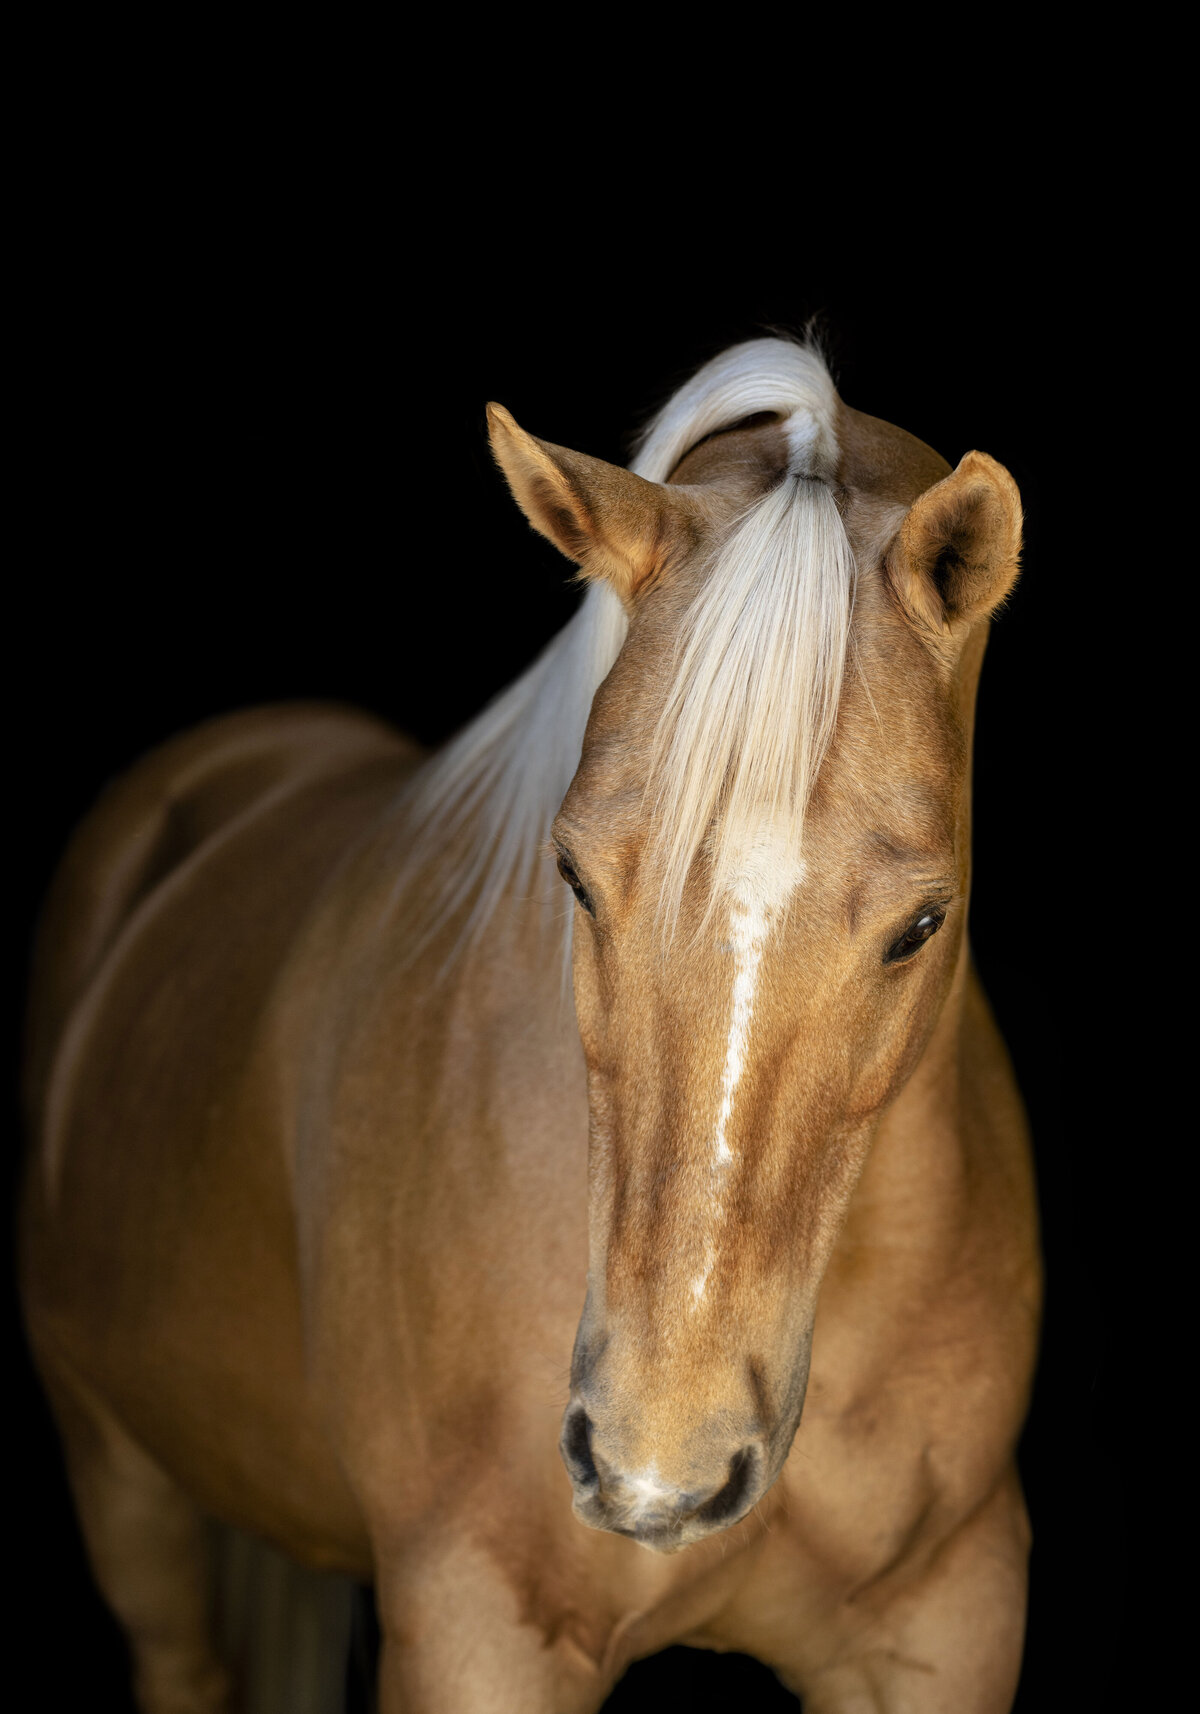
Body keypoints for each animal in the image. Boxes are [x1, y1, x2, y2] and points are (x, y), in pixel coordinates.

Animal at [18, 337, 1042, 1714]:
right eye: (573, 876)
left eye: (922, 923)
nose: (659, 1466)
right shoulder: (476, 1631)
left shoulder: (946, 1623)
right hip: (127, 1493)